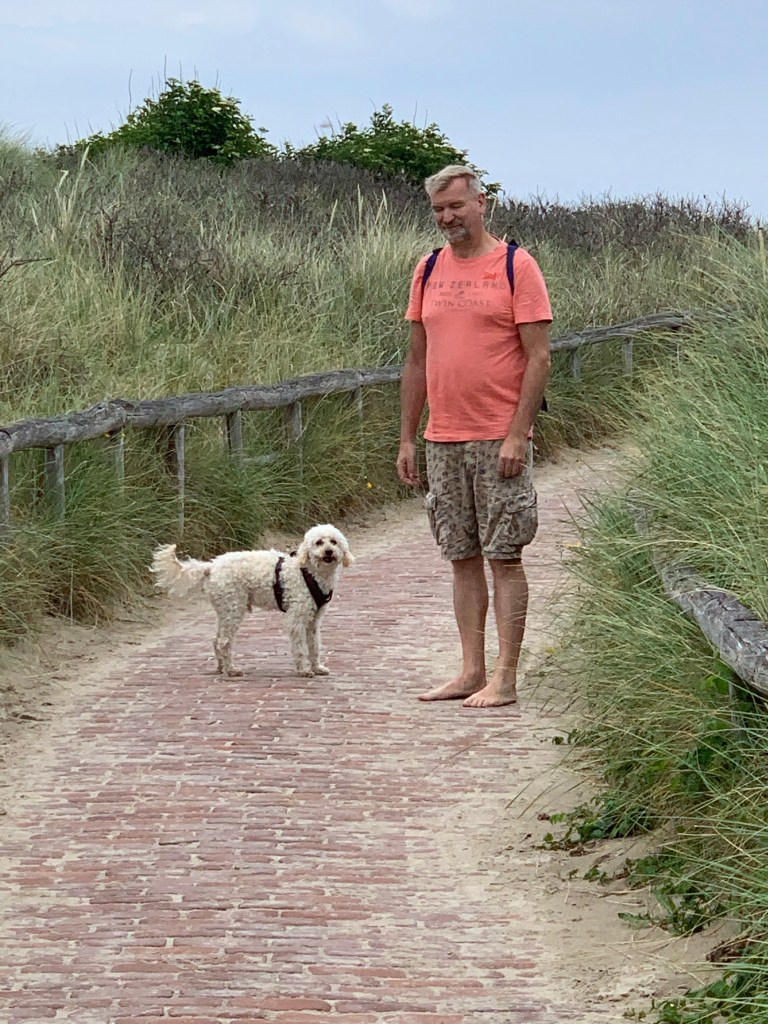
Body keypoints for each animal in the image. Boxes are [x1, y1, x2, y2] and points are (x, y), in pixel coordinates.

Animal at [150, 524, 354, 678]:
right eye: (319, 542)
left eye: (333, 542)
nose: (329, 551)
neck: (309, 572)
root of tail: (211, 566)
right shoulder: (296, 619)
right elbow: (300, 648)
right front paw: (303, 670)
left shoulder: (313, 620)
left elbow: (314, 646)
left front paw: (317, 667)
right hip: (233, 610)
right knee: (224, 642)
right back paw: (231, 670)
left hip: (225, 611)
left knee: (216, 641)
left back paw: (222, 668)